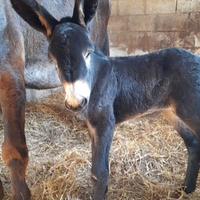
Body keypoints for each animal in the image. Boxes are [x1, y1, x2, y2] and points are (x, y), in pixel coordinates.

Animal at [12, 0, 200, 200]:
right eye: (53, 60)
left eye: (88, 53)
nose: (76, 102)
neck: (95, 80)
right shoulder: (93, 126)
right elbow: (96, 168)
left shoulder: (105, 123)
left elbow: (99, 172)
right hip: (172, 113)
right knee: (193, 144)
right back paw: (186, 189)